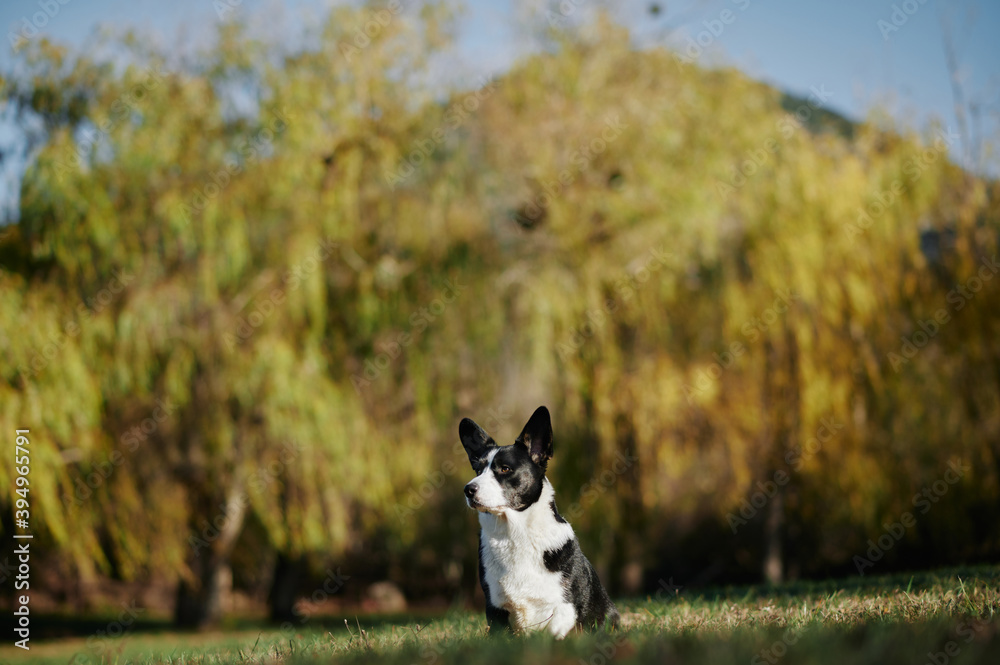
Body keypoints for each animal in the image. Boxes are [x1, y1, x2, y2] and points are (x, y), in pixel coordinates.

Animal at [458, 404, 616, 640]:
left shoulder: (563, 608)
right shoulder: (495, 608)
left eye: (505, 469)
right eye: (478, 470)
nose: (468, 489)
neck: (514, 534)